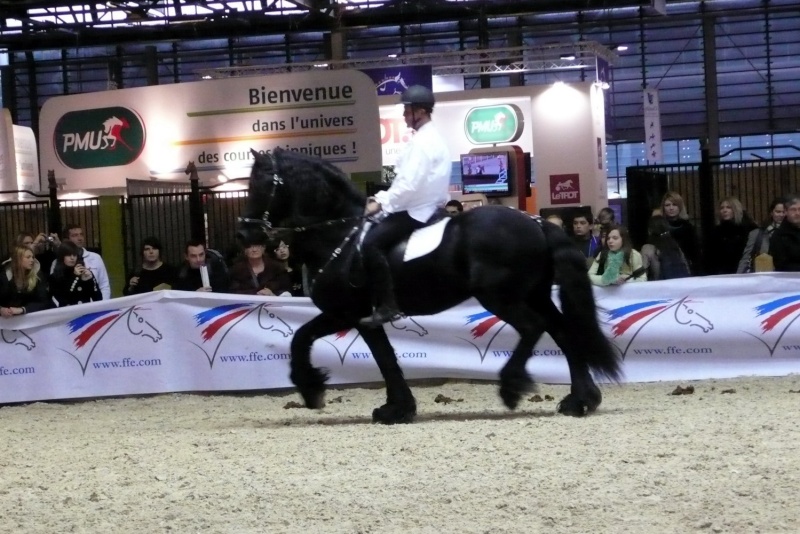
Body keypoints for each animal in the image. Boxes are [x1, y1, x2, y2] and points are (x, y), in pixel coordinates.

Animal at [238, 149, 624, 426]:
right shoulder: (362, 317)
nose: (244, 233)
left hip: (500, 296)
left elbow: (304, 339)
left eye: (261, 185)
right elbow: (384, 357)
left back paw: (512, 387)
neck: (340, 235)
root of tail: (536, 222)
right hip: (535, 294)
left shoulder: (344, 312)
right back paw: (580, 401)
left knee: (533, 328)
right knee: (563, 332)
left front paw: (312, 388)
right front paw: (398, 408)